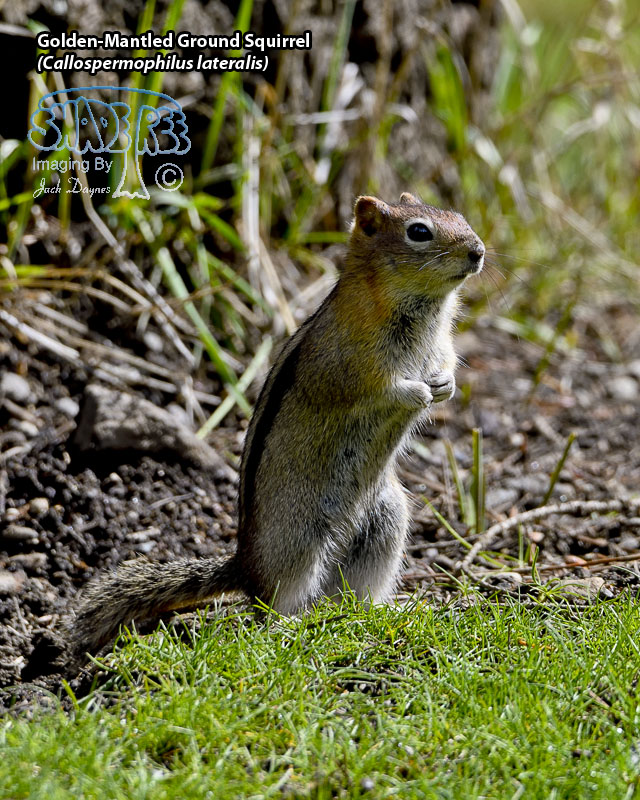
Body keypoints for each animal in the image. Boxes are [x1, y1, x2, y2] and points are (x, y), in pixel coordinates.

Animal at [68, 193, 484, 660]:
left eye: (458, 216)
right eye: (418, 231)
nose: (478, 251)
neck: (421, 309)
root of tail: (245, 566)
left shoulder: (441, 345)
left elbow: (446, 362)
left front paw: (444, 386)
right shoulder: (351, 365)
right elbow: (377, 388)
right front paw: (417, 394)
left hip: (385, 521)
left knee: (351, 595)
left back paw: (384, 611)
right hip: (299, 541)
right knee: (272, 606)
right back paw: (290, 626)